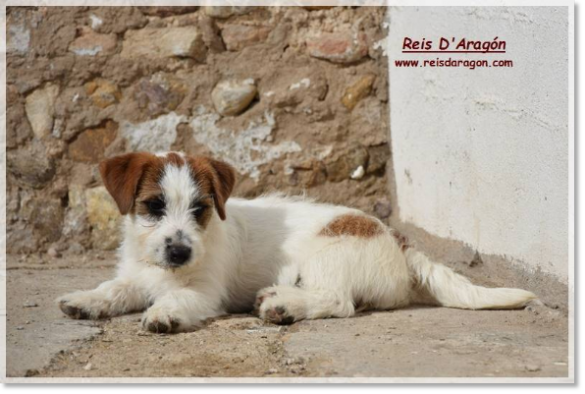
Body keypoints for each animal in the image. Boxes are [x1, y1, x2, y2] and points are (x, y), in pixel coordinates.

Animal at [57, 151, 536, 332]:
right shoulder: (135, 276)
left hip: (326, 254)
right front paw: (85, 299)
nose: (179, 251)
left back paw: (282, 305)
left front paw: (164, 314)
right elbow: (113, 289)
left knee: (340, 301)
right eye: (154, 206)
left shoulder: (206, 292)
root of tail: (396, 238)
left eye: (200, 208)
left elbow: (180, 299)